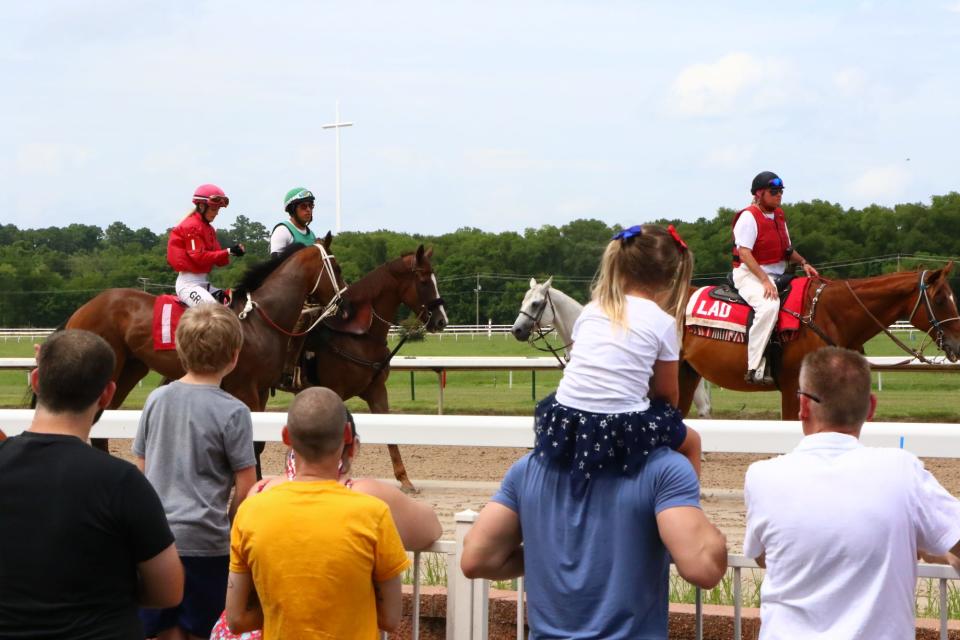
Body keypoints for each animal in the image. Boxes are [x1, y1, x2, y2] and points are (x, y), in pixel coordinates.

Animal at [64, 236, 348, 460]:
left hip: (130, 371)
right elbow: (250, 445)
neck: (259, 319)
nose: (344, 306)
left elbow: (256, 445)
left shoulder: (261, 390)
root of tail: (84, 308)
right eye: (337, 267)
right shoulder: (245, 388)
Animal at [302, 245, 448, 490]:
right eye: (424, 281)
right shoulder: (335, 391)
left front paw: (404, 478)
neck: (358, 334)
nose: (441, 321)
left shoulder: (377, 390)